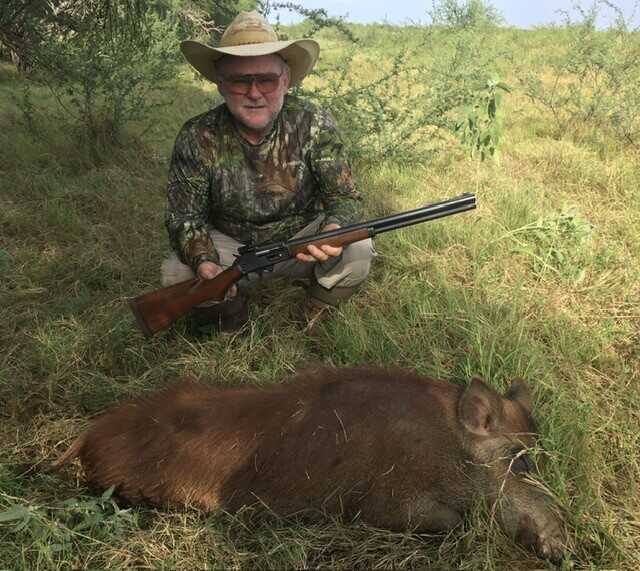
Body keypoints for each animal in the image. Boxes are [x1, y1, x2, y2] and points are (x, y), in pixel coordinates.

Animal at [55, 367, 567, 562]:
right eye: (520, 462)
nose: (563, 547)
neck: (446, 446)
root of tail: (85, 436)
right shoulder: (381, 504)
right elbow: (455, 521)